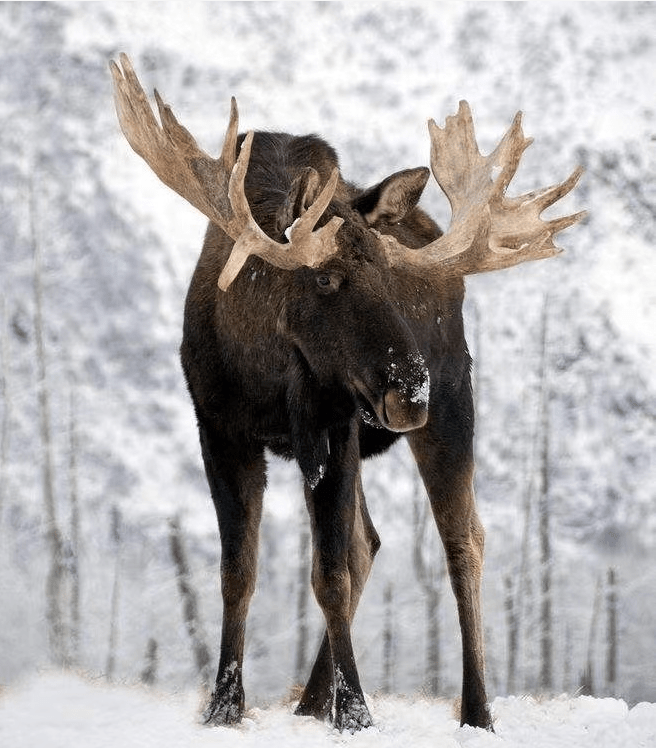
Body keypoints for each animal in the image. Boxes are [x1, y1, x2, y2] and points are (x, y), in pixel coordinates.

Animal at [110, 55, 588, 732]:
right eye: (326, 279)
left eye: (389, 274)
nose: (410, 388)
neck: (267, 372)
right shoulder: (220, 429)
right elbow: (239, 572)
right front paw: (225, 706)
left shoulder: (333, 427)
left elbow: (329, 575)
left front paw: (357, 711)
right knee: (370, 542)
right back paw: (313, 700)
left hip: (453, 405)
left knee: (461, 540)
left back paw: (476, 710)